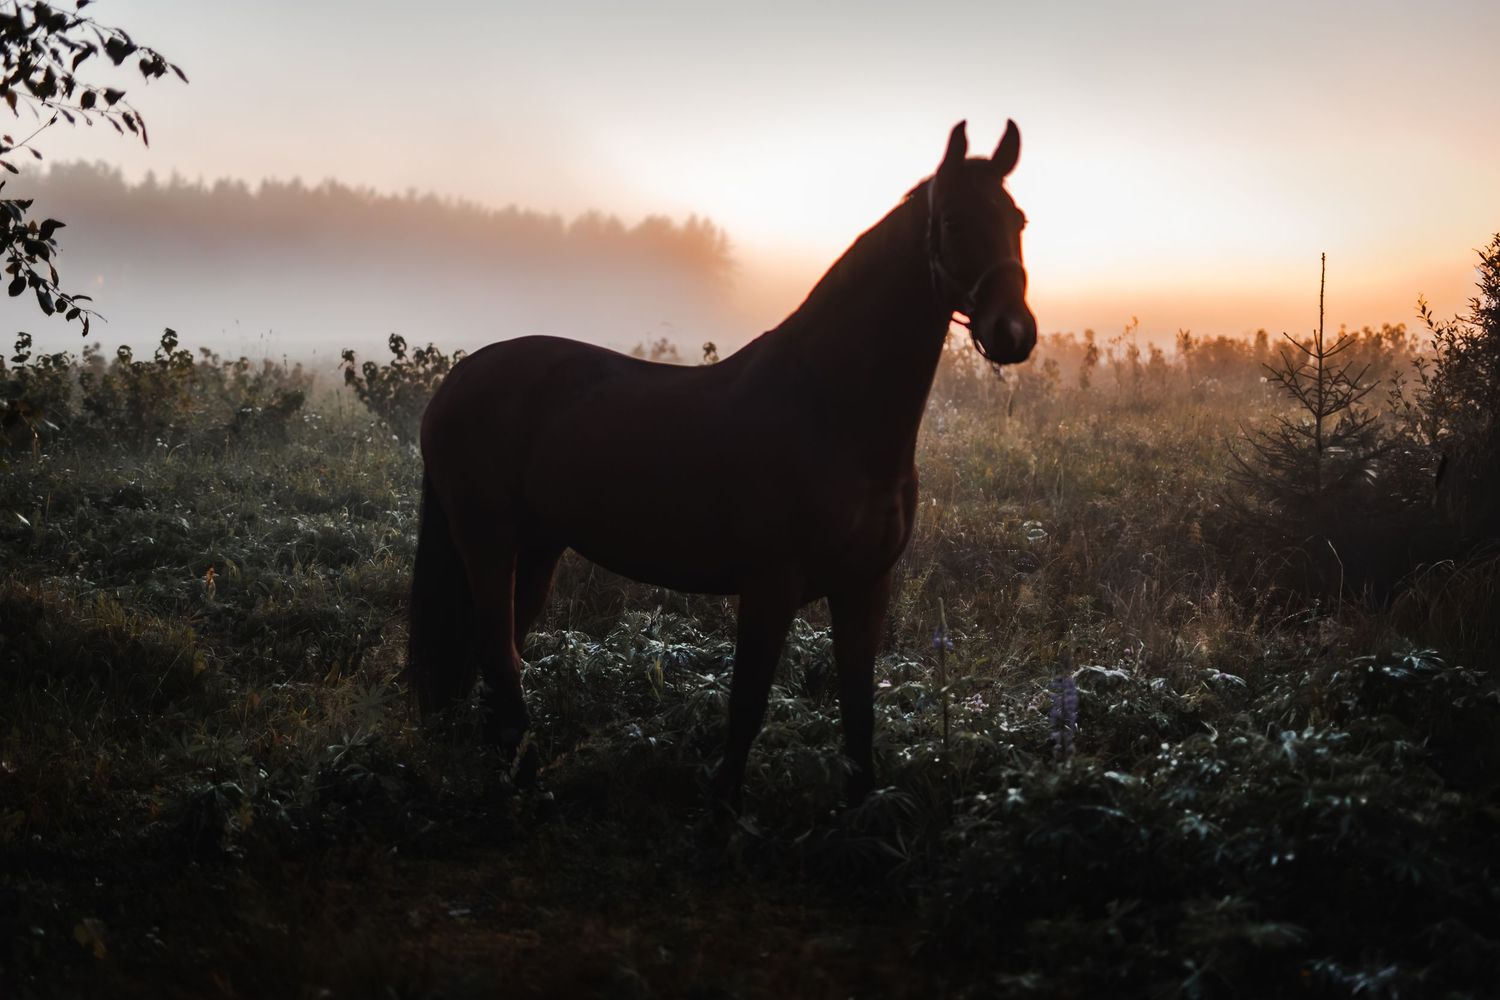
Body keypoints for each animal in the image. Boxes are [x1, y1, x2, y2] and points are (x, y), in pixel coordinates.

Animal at [409, 120, 1036, 811]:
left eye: (1019, 220)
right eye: (953, 221)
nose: (1014, 333)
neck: (828, 409)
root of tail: (458, 378)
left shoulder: (865, 585)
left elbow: (858, 711)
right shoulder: (770, 585)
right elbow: (747, 705)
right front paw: (725, 808)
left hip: (539, 547)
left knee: (501, 650)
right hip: (487, 539)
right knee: (499, 651)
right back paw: (525, 777)